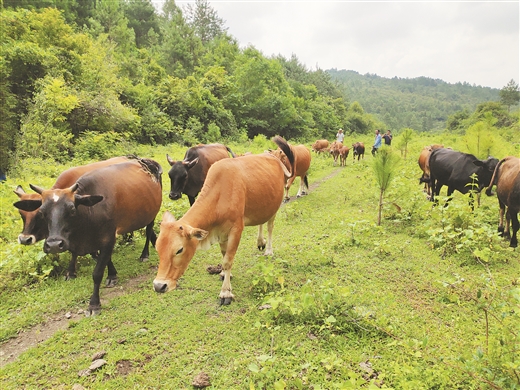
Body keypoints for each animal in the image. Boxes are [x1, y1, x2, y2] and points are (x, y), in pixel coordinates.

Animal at [13, 158, 162, 314]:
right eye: (42, 212)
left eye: (72, 209)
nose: (24, 239)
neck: (89, 212)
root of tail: (143, 161)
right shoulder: (79, 240)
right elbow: (87, 256)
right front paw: (74, 273)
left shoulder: (108, 239)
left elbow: (97, 273)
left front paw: (94, 304)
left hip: (152, 214)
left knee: (149, 230)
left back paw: (145, 254)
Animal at [152, 137, 294, 304]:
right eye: (158, 248)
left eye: (179, 250)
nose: (159, 286)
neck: (220, 194)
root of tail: (273, 157)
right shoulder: (221, 232)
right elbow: (224, 254)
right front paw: (225, 275)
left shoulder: (236, 230)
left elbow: (227, 260)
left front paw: (226, 292)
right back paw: (260, 242)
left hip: (274, 206)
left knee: (270, 226)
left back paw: (268, 250)